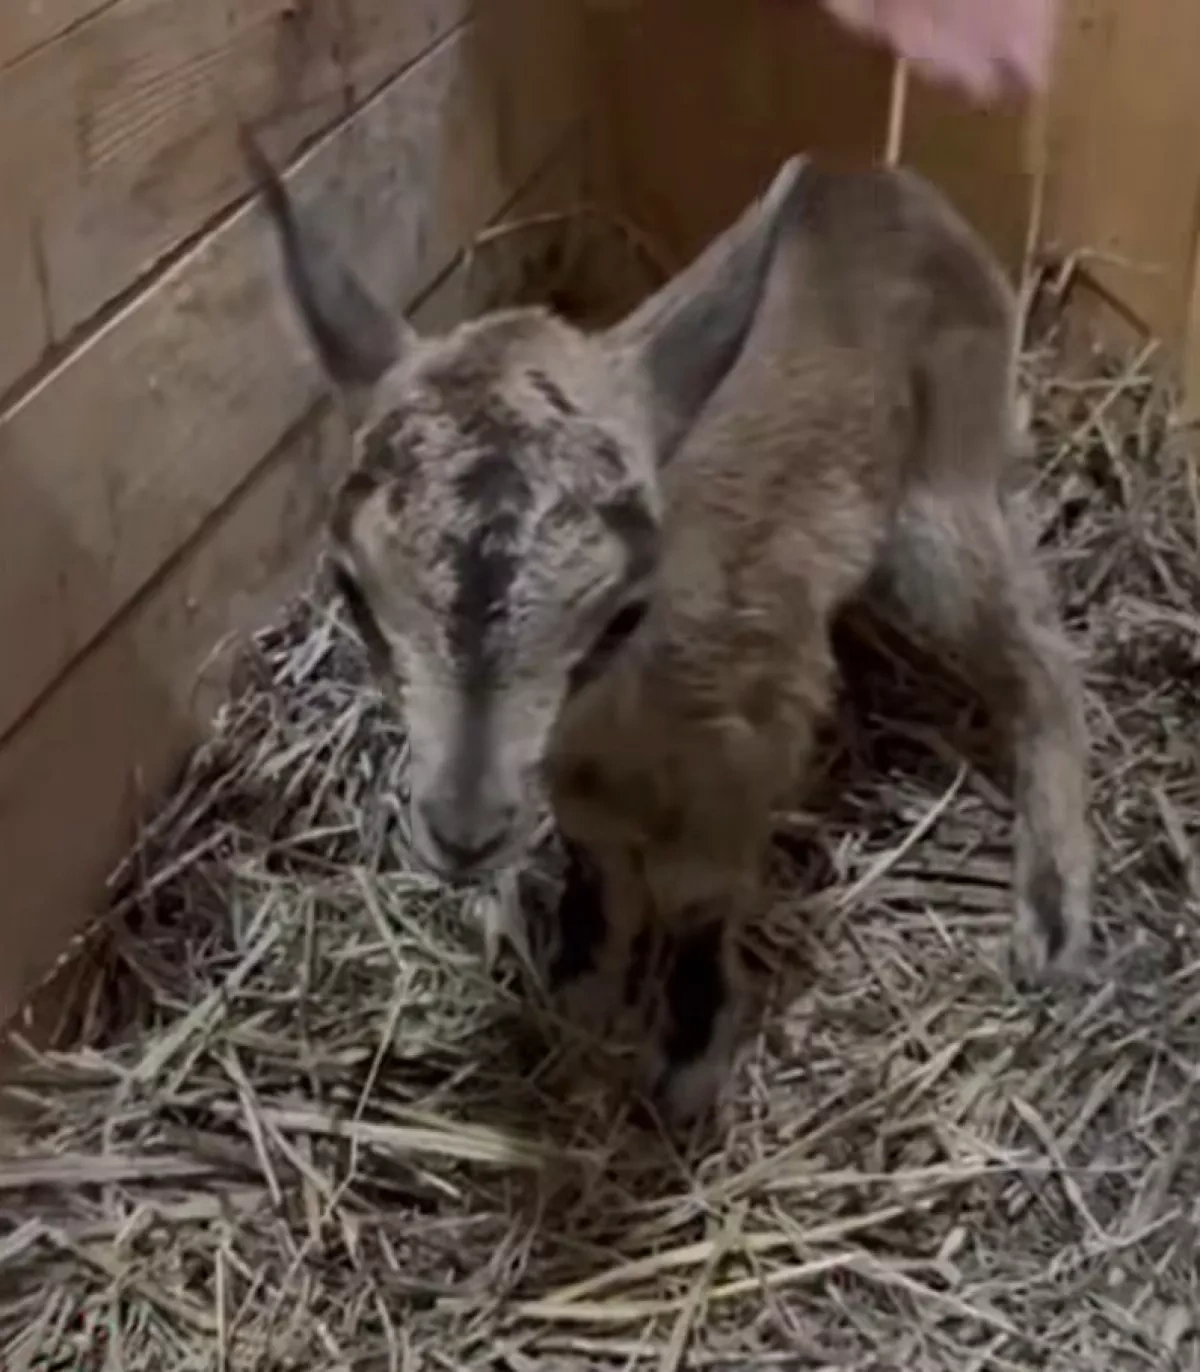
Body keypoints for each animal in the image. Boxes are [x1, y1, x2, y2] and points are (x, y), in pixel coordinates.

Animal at [244, 132, 1092, 1131]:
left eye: (622, 611)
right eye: (351, 588)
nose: (463, 831)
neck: (625, 721)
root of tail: (892, 189)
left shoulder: (752, 746)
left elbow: (699, 893)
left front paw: (686, 1059)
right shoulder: (574, 776)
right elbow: (597, 854)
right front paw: (579, 979)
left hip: (942, 503)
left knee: (1045, 655)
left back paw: (1053, 922)